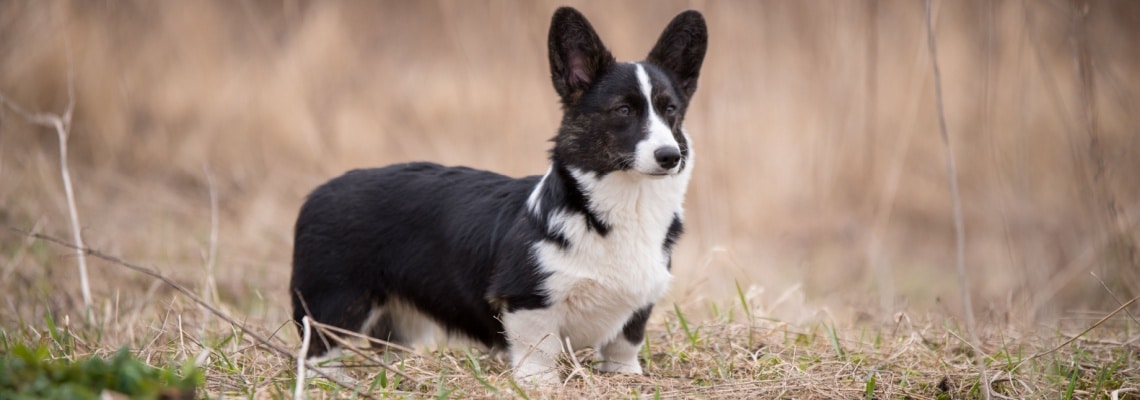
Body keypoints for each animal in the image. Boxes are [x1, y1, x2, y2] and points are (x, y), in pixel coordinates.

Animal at [291, 4, 702, 382]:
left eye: (670, 110)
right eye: (623, 110)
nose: (670, 156)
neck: (627, 204)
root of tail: (317, 193)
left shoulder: (639, 307)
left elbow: (624, 345)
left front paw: (626, 375)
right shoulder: (526, 300)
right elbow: (539, 348)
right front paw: (540, 383)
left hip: (401, 320)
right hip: (336, 304)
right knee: (317, 352)